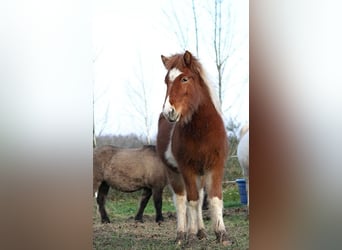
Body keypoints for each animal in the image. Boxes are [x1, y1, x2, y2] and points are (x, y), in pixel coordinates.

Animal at [156, 50, 231, 246]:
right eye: (166, 81)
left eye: (184, 79)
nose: (169, 112)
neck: (202, 131)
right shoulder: (186, 168)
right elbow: (192, 201)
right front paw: (190, 236)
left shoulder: (216, 166)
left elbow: (214, 199)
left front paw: (222, 234)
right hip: (174, 172)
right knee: (182, 201)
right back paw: (182, 234)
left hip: (201, 173)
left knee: (200, 196)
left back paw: (202, 232)